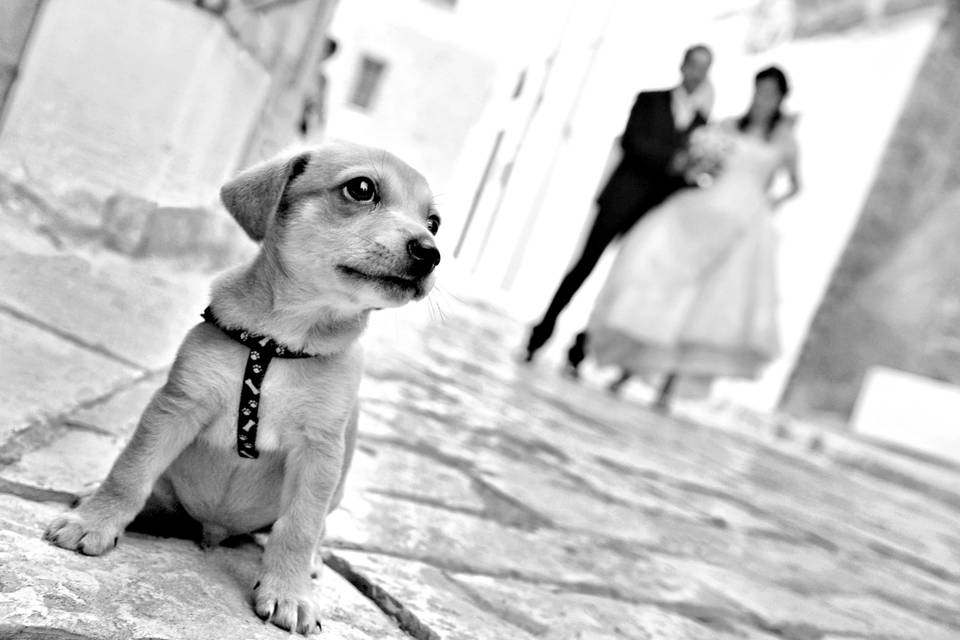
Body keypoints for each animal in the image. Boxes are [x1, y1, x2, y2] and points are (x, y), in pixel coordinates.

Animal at [45, 141, 442, 636]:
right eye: (362, 188)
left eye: (434, 222)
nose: (430, 253)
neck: (282, 340)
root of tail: (214, 530)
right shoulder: (177, 406)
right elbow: (130, 473)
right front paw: (93, 522)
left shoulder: (321, 452)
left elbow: (298, 528)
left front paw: (289, 591)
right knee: (156, 493)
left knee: (313, 530)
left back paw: (311, 564)